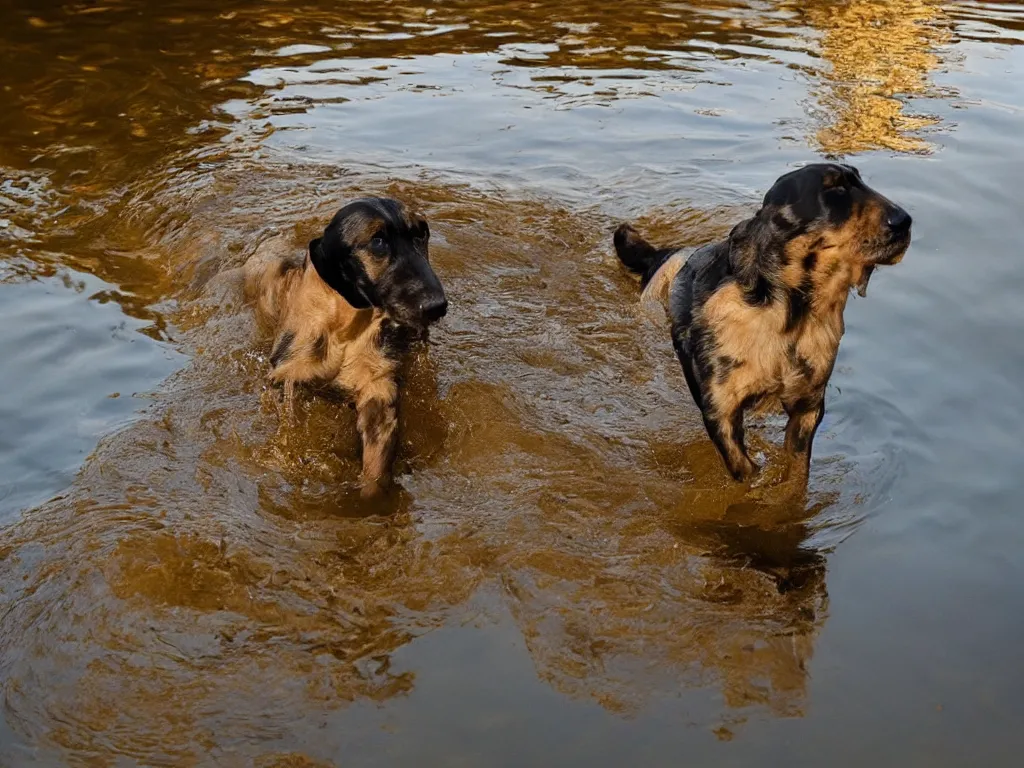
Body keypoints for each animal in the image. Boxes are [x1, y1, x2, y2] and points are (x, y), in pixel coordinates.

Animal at [243, 196, 448, 499]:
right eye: (377, 241)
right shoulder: (288, 379)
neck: (346, 326)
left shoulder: (379, 389)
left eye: (421, 232)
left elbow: (376, 466)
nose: (438, 306)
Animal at [610, 165, 917, 483]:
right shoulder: (721, 408)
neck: (787, 314)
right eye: (835, 189)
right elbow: (745, 468)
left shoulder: (808, 405)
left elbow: (796, 469)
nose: (905, 221)